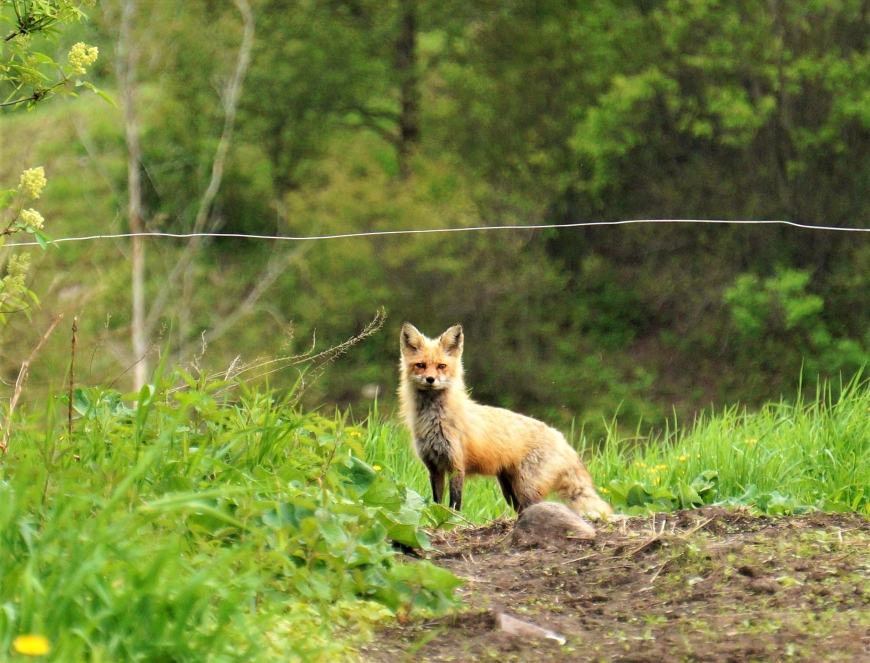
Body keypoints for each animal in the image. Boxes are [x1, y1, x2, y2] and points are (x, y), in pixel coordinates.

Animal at [400, 324, 612, 520]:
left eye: (441, 366)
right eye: (420, 365)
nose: (430, 379)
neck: (434, 421)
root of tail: (559, 436)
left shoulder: (456, 465)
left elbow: (455, 504)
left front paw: (454, 522)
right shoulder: (434, 467)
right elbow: (437, 503)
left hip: (525, 488)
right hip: (510, 491)